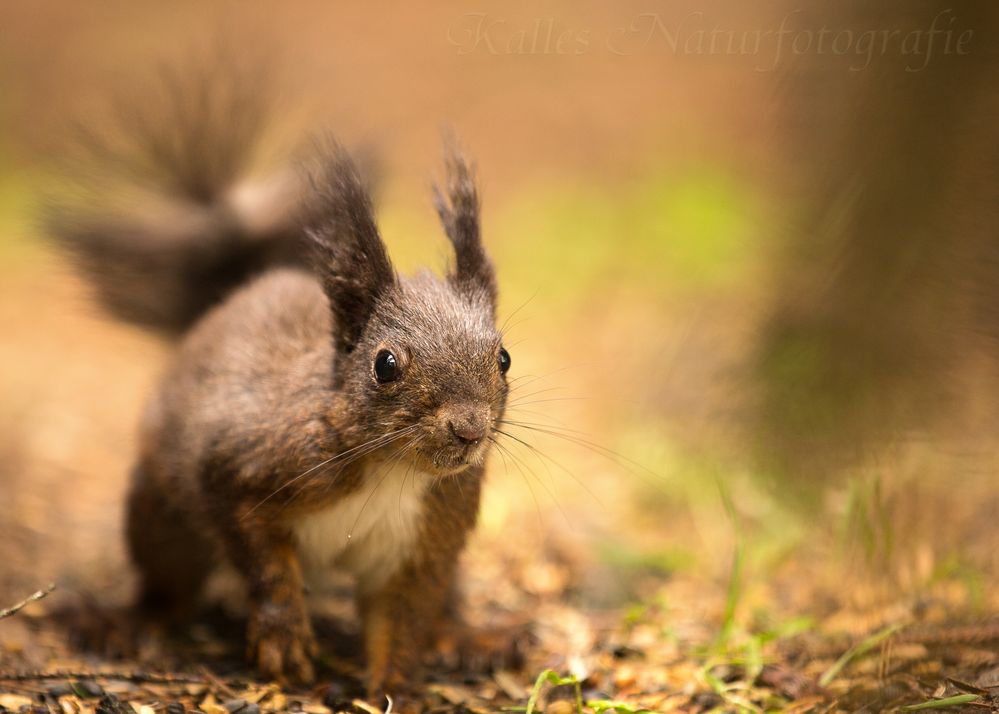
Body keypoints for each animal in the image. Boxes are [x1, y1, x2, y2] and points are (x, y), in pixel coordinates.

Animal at [47, 69, 516, 704]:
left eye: (504, 358)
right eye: (386, 364)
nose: (470, 430)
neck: (392, 468)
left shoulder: (430, 534)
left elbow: (404, 619)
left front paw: (395, 685)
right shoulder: (248, 465)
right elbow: (261, 558)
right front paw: (284, 639)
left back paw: (468, 636)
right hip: (163, 515)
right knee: (169, 582)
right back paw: (124, 620)